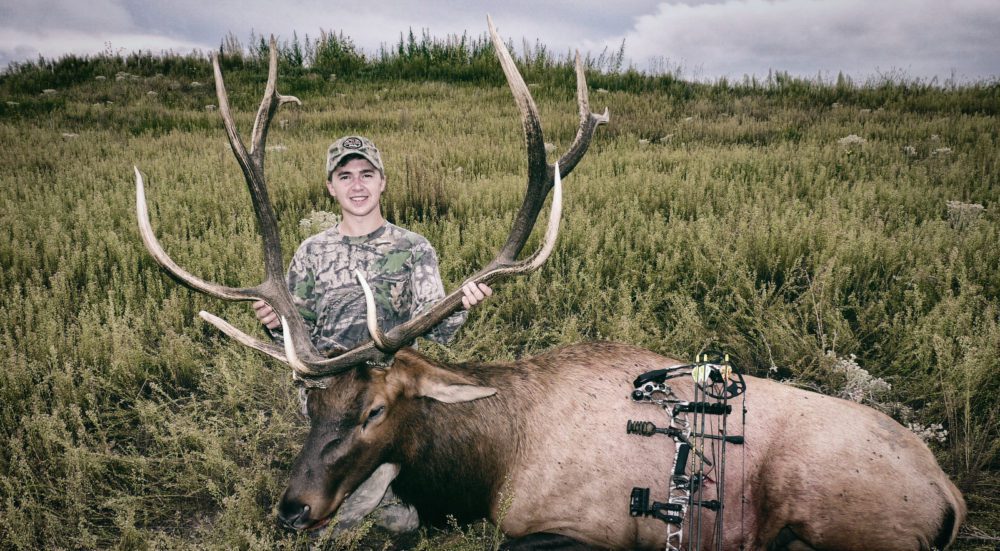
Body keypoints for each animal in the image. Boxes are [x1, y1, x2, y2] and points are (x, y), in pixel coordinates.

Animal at [134, 17, 965, 550]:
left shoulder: (567, 522)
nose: (291, 506)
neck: (488, 460)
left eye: (373, 409)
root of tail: (951, 496)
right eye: (313, 402)